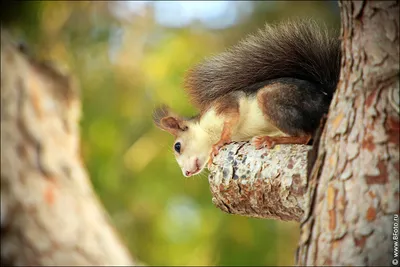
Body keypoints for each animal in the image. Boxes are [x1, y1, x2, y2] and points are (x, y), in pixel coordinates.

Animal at [153, 18, 340, 178]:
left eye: (177, 146)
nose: (186, 173)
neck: (206, 132)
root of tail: (326, 96)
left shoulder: (226, 104)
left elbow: (230, 119)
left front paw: (220, 142)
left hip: (271, 98)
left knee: (305, 136)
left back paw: (270, 139)